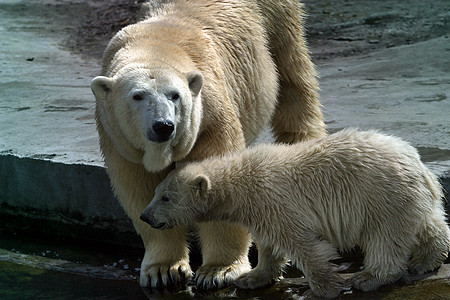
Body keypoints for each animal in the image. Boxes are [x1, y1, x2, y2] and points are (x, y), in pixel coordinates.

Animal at [91, 0, 326, 290]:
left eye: (175, 95)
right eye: (137, 96)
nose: (163, 126)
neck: (154, 45)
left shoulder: (209, 116)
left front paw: (218, 270)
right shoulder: (120, 142)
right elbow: (138, 187)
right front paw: (163, 270)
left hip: (276, 20)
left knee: (293, 77)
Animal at [142, 129, 450, 298]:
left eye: (165, 197)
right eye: (155, 192)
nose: (146, 216)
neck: (240, 180)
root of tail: (418, 162)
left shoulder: (275, 201)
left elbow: (303, 244)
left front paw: (323, 289)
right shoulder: (260, 211)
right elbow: (268, 246)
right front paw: (251, 278)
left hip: (381, 195)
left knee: (385, 238)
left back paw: (369, 278)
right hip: (406, 197)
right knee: (428, 224)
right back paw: (425, 261)